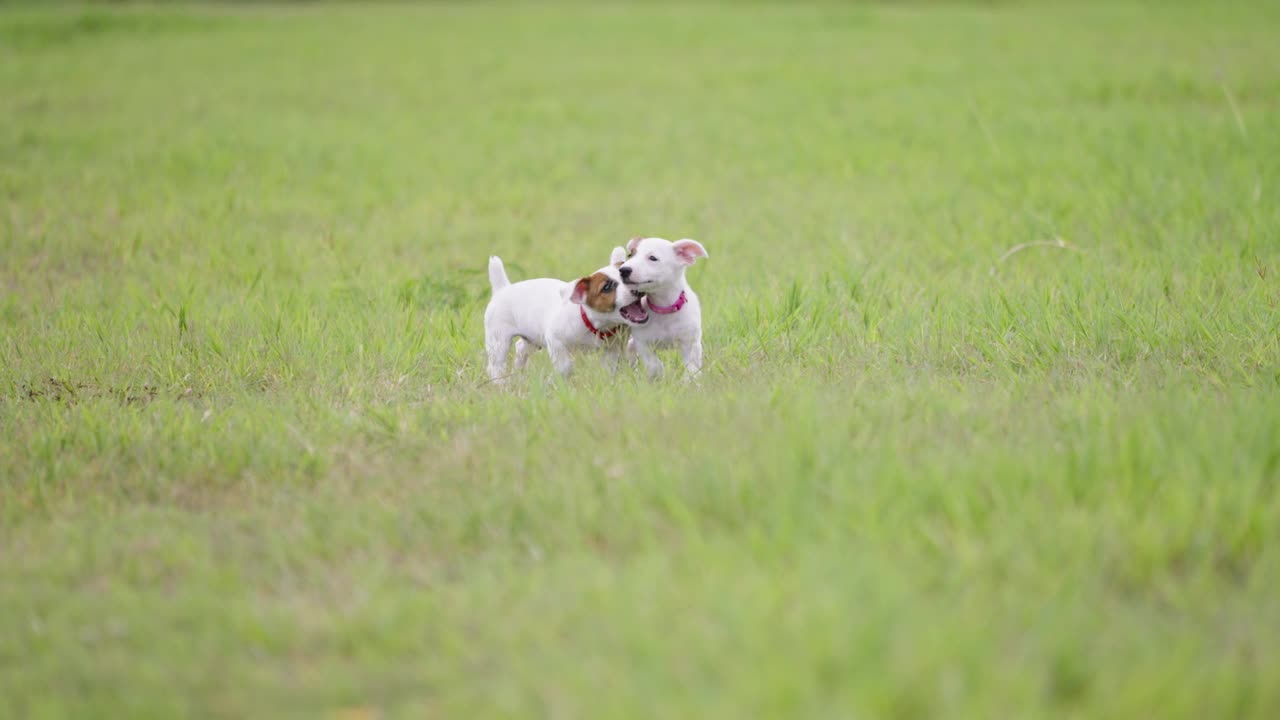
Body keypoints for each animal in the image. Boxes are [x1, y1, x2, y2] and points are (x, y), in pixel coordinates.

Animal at [481, 244, 650, 381]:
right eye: (607, 287)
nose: (636, 289)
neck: (596, 324)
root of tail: (502, 288)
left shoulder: (612, 350)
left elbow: (610, 368)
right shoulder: (554, 339)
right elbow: (565, 367)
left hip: (532, 338)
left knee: (521, 348)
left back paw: (519, 373)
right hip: (498, 341)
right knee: (495, 366)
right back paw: (501, 383)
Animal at [616, 237, 711, 381]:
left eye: (653, 258)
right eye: (630, 255)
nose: (623, 270)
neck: (663, 308)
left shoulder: (690, 342)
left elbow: (692, 366)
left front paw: (690, 380)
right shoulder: (643, 342)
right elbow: (653, 364)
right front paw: (659, 375)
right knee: (630, 348)